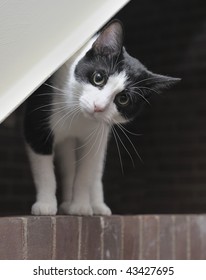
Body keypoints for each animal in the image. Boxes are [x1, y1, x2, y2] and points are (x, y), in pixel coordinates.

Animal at [23, 19, 179, 217]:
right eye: (98, 78)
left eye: (123, 99)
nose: (99, 107)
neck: (78, 117)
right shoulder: (36, 125)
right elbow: (45, 172)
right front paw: (45, 205)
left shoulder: (96, 136)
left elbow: (85, 174)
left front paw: (81, 206)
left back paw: (95, 205)